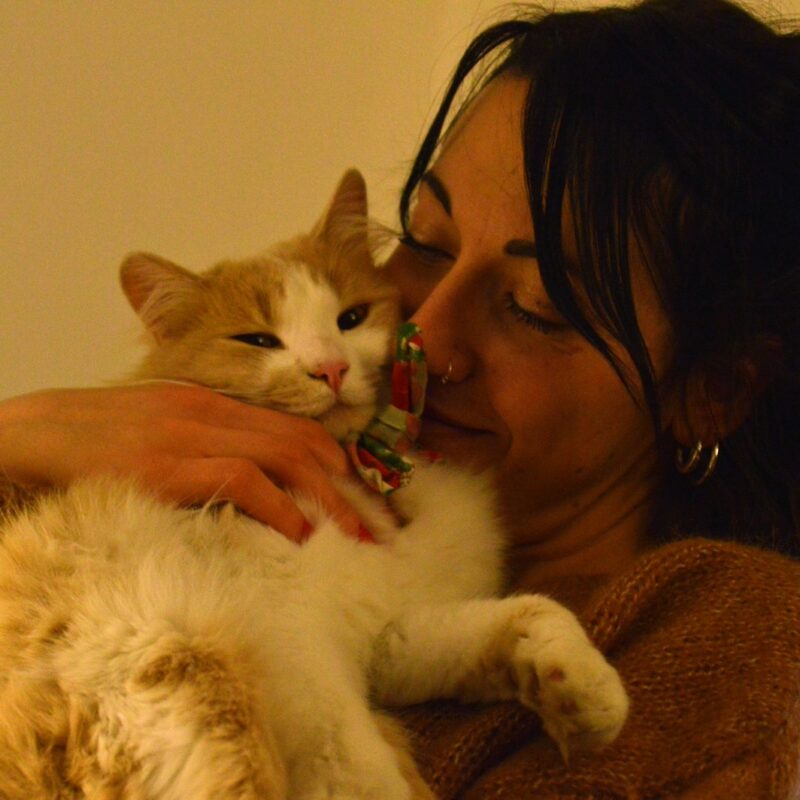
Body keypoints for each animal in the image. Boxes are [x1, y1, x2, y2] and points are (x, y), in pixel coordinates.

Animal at [0, 170, 628, 800]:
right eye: (257, 341)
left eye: (351, 318)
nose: (331, 368)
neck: (362, 473)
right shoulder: (295, 643)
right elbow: (352, 760)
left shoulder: (385, 636)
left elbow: (528, 614)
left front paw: (584, 691)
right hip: (189, 660)